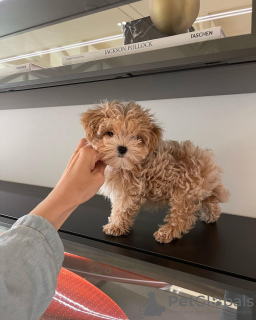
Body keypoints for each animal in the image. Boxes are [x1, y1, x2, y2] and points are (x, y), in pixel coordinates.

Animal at [81, 100, 229, 242]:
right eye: (110, 133)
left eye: (136, 137)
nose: (122, 148)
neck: (124, 165)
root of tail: (207, 162)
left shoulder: (130, 190)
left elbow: (122, 208)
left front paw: (116, 226)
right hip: (197, 189)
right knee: (209, 200)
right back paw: (212, 216)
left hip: (185, 191)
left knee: (182, 216)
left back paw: (166, 233)